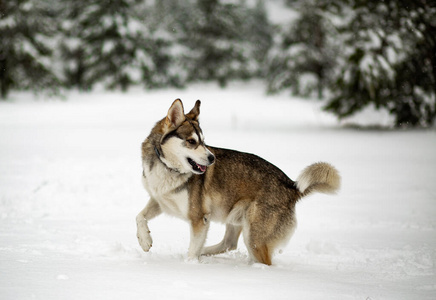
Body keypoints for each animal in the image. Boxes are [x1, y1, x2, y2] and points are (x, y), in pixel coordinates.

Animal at [136, 99, 340, 264]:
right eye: (192, 141)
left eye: (203, 141)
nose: (212, 158)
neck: (167, 167)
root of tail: (292, 186)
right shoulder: (159, 201)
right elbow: (139, 216)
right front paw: (145, 240)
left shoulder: (199, 218)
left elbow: (193, 251)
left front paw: (190, 265)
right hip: (235, 217)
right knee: (229, 244)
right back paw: (205, 252)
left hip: (254, 237)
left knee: (262, 260)